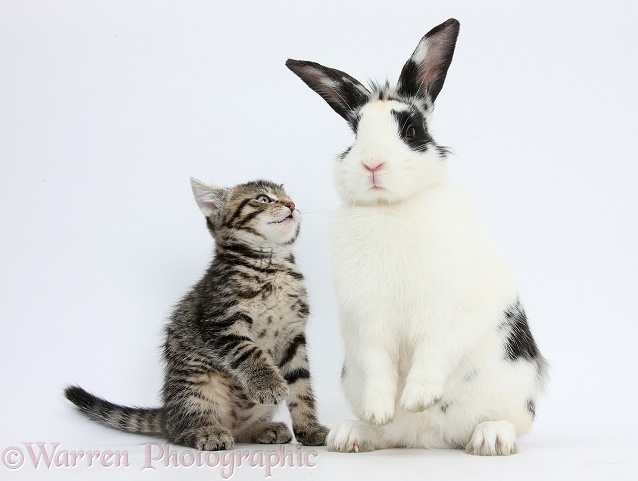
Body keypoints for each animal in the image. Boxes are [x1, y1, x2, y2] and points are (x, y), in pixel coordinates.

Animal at [65, 177, 330, 450]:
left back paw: (262, 429)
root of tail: (166, 415)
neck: (271, 265)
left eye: (289, 197)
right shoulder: (219, 321)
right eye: (263, 199)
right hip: (195, 382)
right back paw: (207, 431)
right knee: (181, 431)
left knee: (239, 431)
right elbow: (250, 352)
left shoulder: (293, 335)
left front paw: (309, 429)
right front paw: (269, 383)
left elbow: (301, 386)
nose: (292, 205)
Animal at [288, 18, 548, 454]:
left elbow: (433, 350)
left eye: (410, 129)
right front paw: (380, 409)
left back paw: (489, 438)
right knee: (386, 434)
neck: (392, 209)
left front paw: (418, 397)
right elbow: (378, 363)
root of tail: (429, 439)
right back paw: (352, 434)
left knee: (504, 421)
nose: (372, 164)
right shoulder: (368, 321)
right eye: (356, 134)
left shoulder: (443, 312)